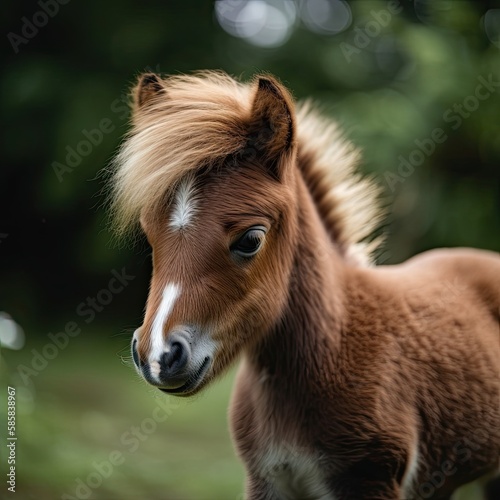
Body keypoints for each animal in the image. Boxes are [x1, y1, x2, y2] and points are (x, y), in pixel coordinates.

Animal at [110, 71, 500, 500]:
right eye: (149, 234)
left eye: (251, 239)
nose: (158, 356)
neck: (332, 349)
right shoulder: (266, 481)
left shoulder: (372, 482)